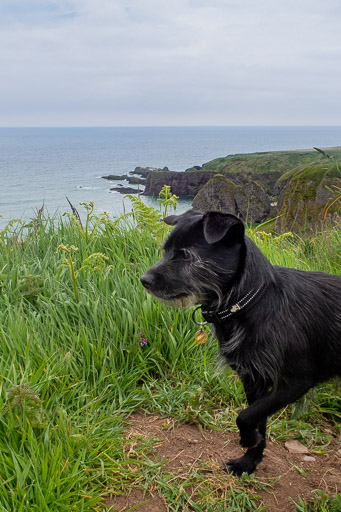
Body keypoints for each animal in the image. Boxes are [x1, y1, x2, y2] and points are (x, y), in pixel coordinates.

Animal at [139, 210, 340, 474]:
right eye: (166, 250)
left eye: (186, 255)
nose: (144, 280)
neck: (251, 302)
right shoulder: (254, 380)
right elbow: (258, 420)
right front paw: (249, 461)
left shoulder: (295, 381)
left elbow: (245, 415)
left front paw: (246, 439)